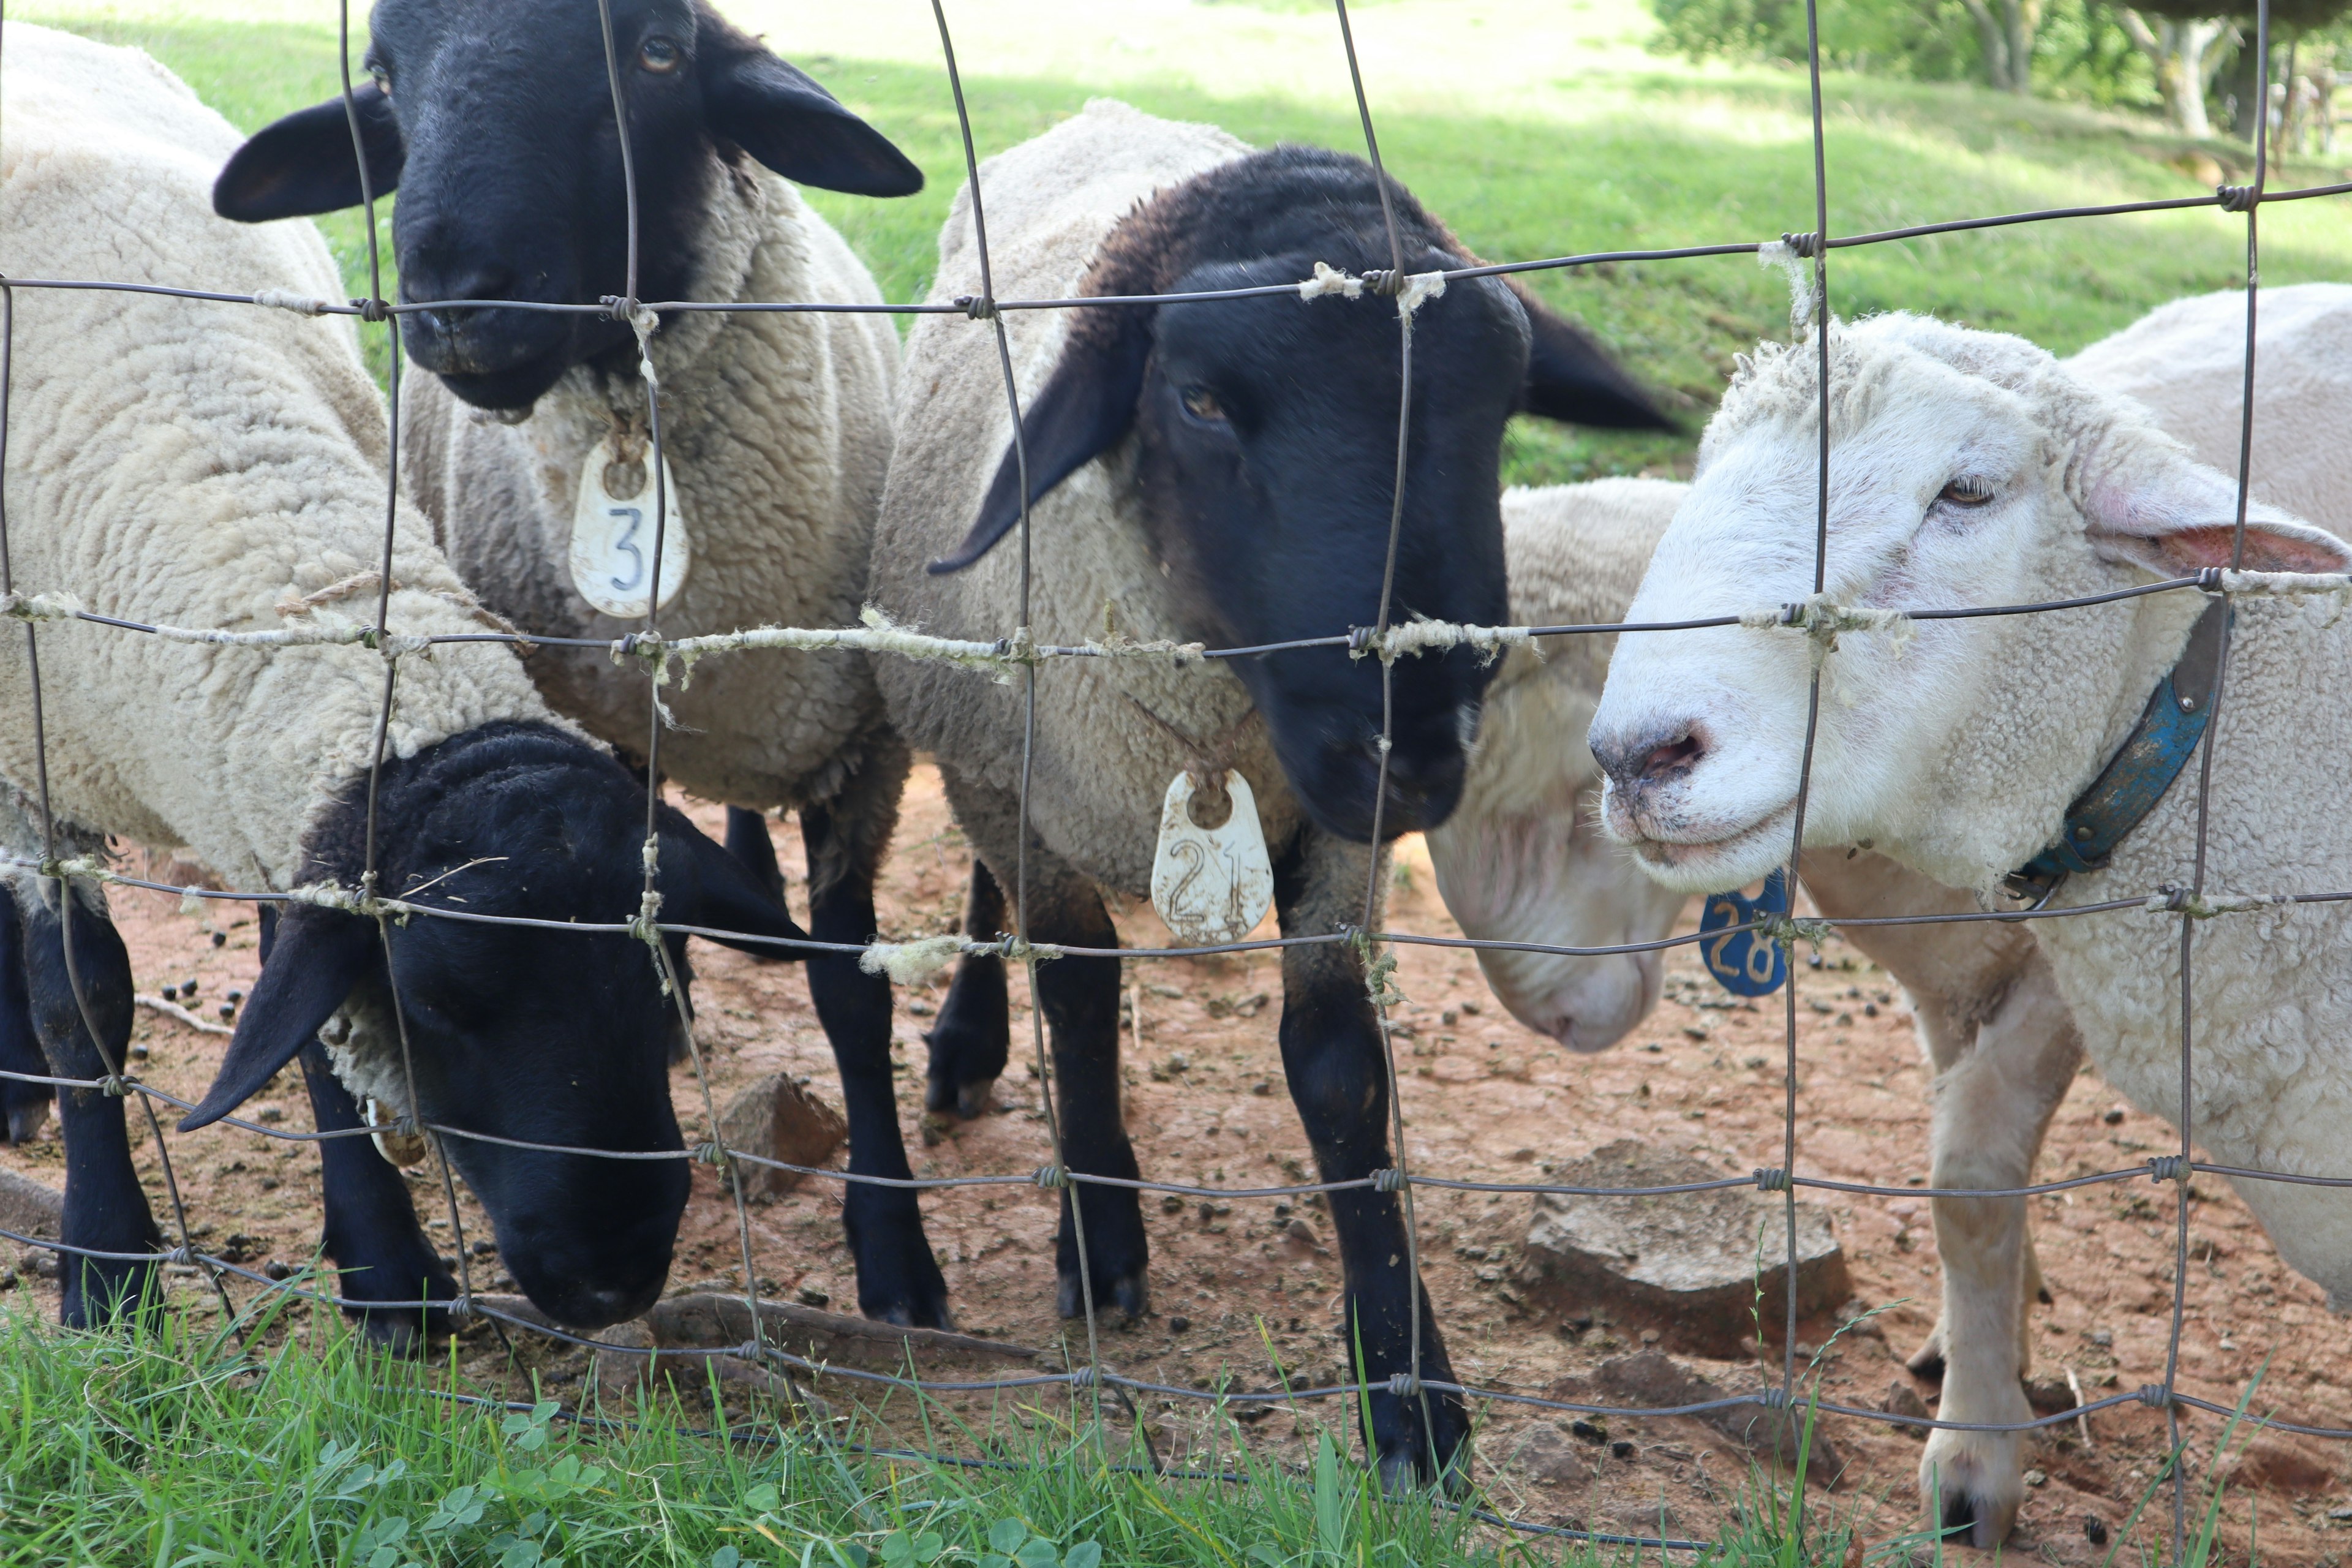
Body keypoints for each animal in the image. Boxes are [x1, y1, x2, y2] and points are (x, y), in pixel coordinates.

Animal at [0, 21, 799, 1335]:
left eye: (668, 974)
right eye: (438, 1006)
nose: (615, 1274)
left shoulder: (265, 783)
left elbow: (301, 1010)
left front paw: (387, 1276)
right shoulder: (32, 768)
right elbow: (85, 1004)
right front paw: (108, 1267)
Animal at [870, 101, 1675, 1495]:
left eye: (1497, 411)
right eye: (1198, 400)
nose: (1417, 753)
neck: (1209, 723)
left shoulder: (1336, 841)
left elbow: (1340, 1068)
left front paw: (1411, 1391)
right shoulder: (1022, 784)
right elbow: (1079, 995)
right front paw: (1100, 1234)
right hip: (985, 739)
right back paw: (970, 1039)